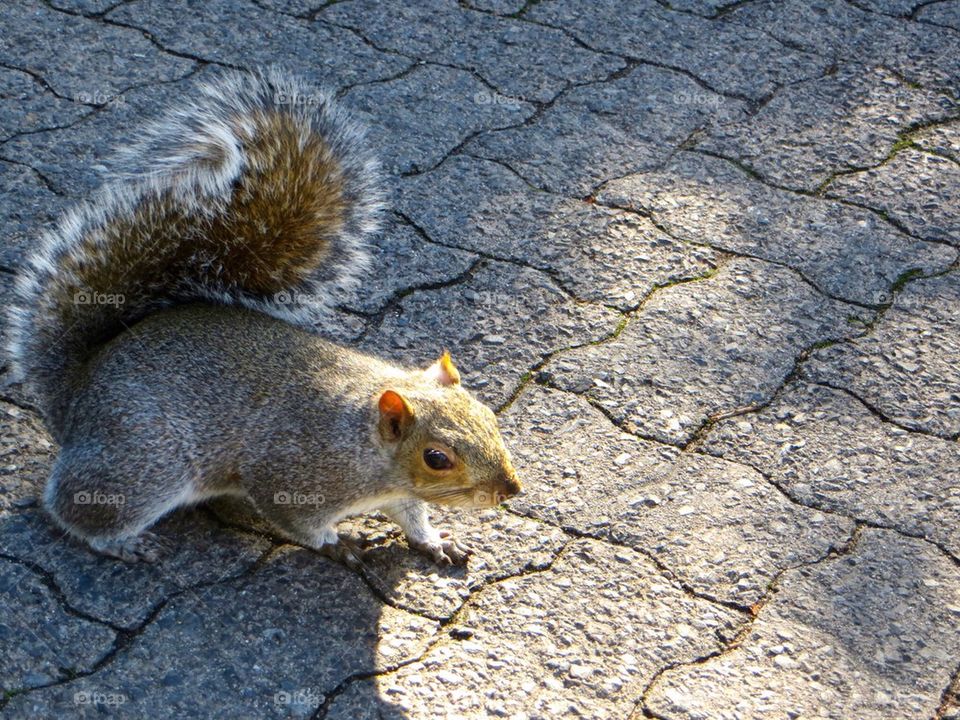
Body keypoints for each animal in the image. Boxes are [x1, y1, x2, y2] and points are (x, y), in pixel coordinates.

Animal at [6, 68, 521, 566]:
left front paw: (432, 540)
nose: (510, 490)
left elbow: (411, 512)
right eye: (436, 458)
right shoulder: (289, 474)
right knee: (73, 505)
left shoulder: (395, 491)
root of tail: (76, 393)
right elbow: (296, 519)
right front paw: (337, 544)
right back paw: (120, 541)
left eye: (489, 417)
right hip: (145, 461)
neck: (364, 444)